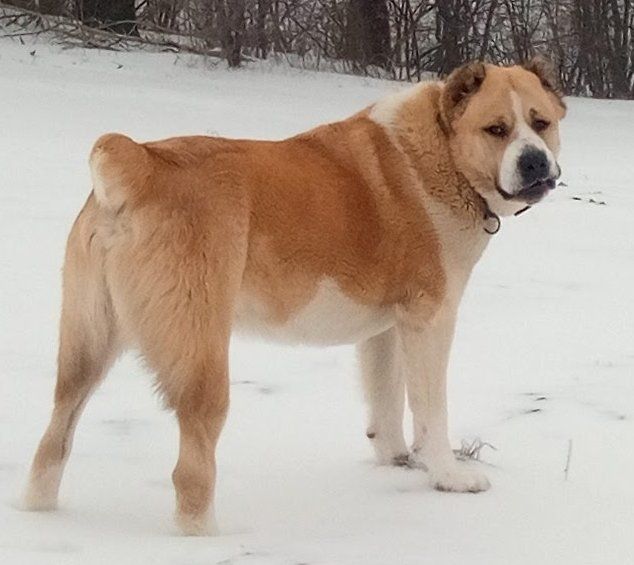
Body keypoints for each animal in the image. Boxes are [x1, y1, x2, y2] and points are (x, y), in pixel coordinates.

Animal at [24, 58, 564, 536]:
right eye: (496, 129)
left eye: (541, 123)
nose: (536, 160)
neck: (441, 152)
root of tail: (139, 161)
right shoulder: (430, 319)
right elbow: (430, 409)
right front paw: (447, 476)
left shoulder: (387, 326)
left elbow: (385, 399)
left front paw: (395, 461)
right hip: (201, 355)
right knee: (191, 468)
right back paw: (208, 534)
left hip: (87, 346)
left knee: (54, 439)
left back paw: (39, 511)